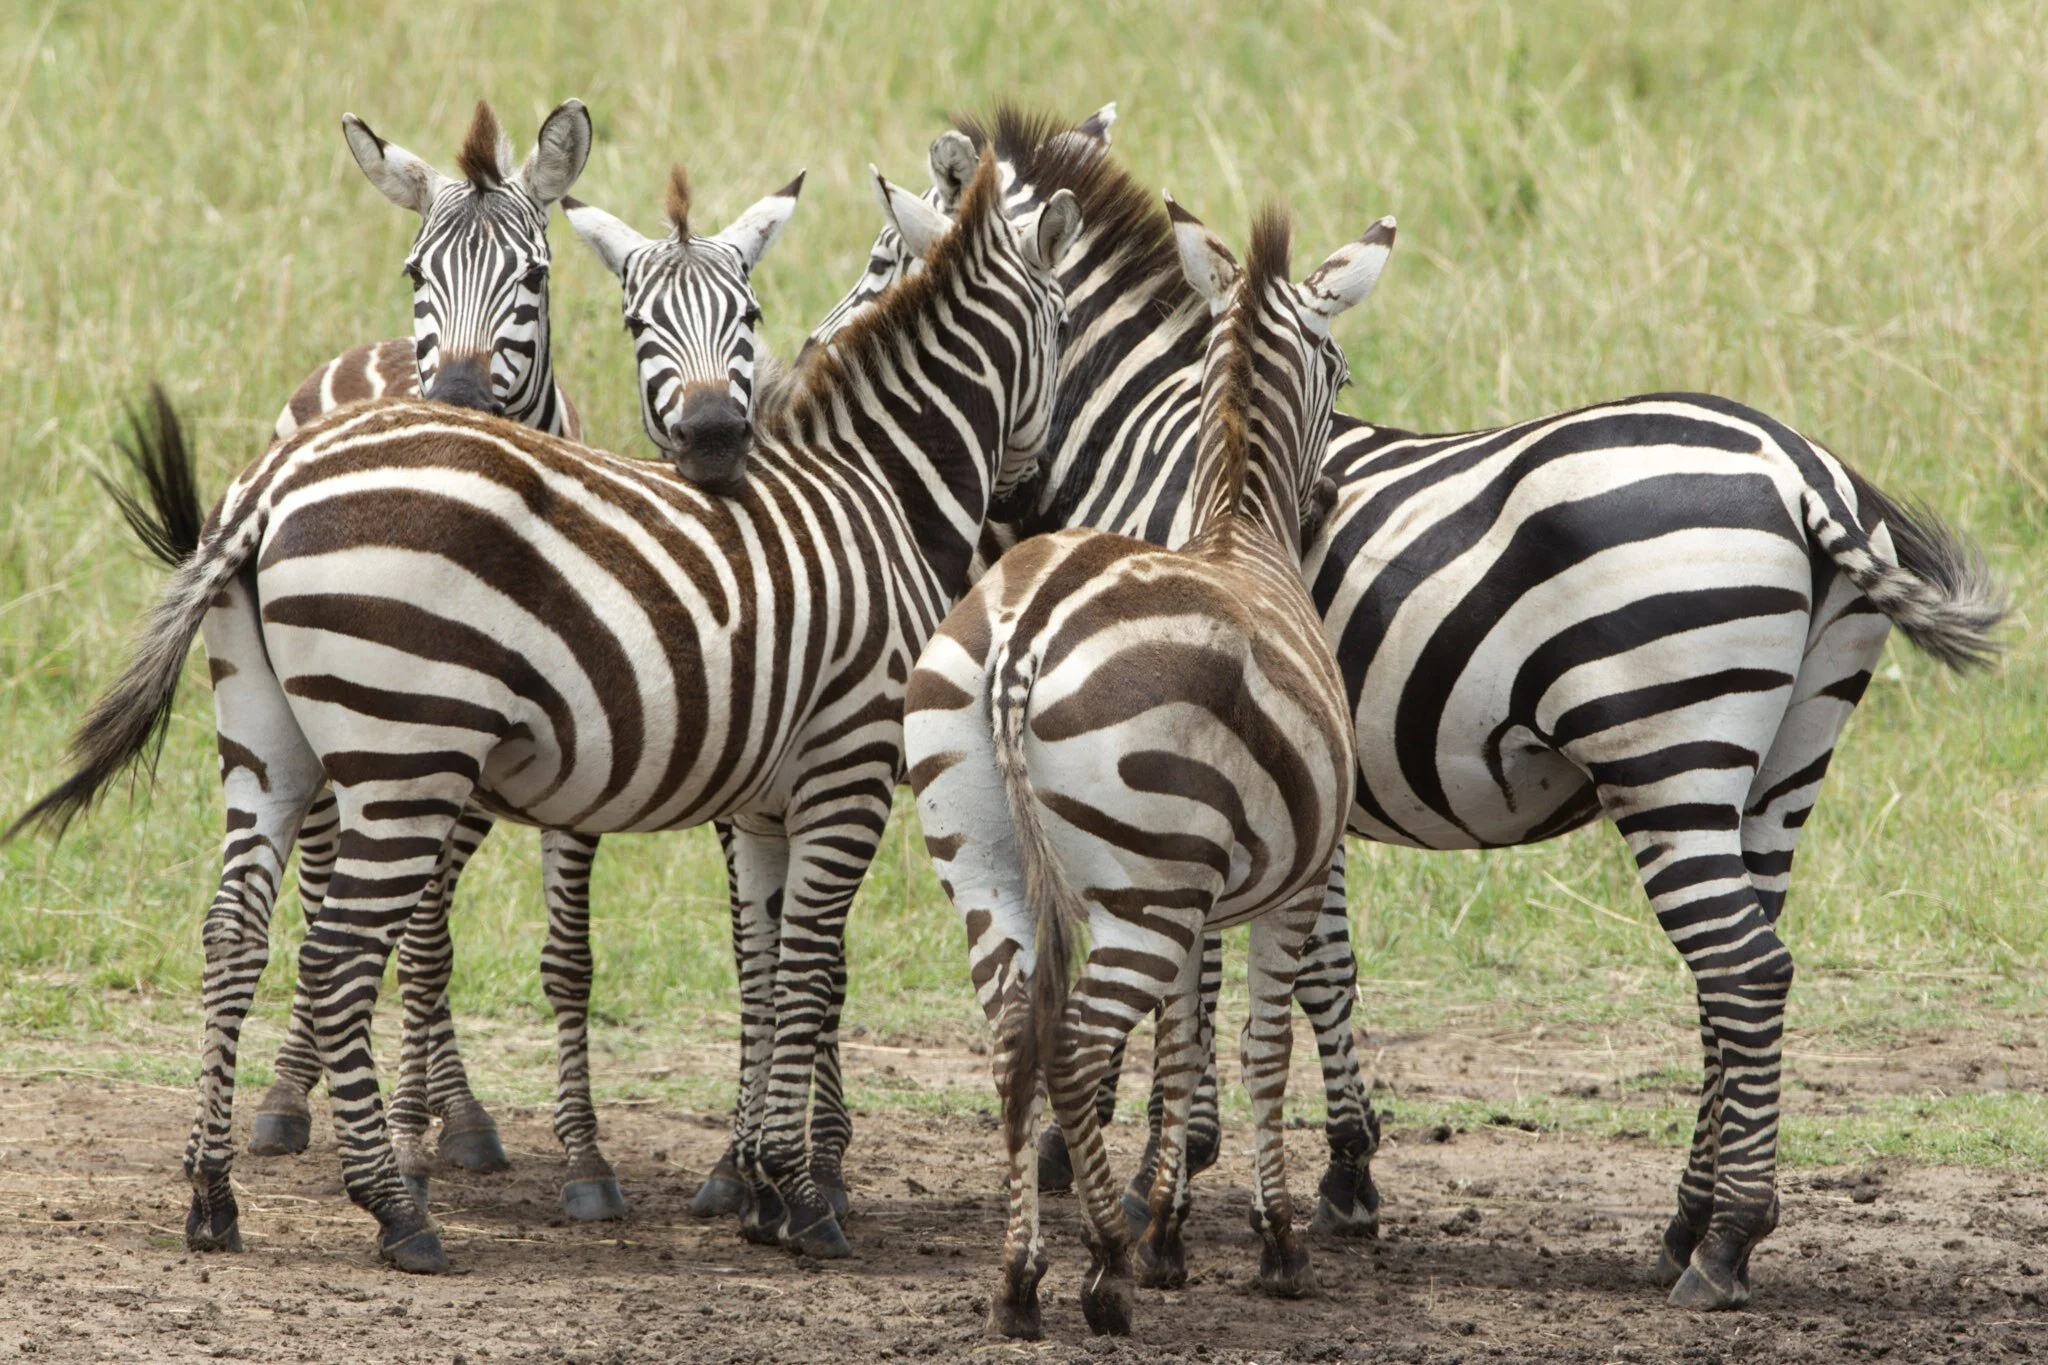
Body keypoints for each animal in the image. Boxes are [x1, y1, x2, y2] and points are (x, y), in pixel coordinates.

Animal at [10, 144, 1079, 1274]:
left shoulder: (763, 799)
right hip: (404, 751)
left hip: (268, 739)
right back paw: (395, 1209)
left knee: (232, 929)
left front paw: (757, 1187)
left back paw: (213, 1195)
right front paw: (803, 1196)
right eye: (1063, 325)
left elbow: (764, 963)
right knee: (341, 951)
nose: (1039, 494)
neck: (879, 489)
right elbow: (809, 971)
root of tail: (275, 483)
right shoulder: (849, 764)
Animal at [905, 199, 1392, 1338]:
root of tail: (1023, 634)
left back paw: (1020, 1281)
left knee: (1014, 1039)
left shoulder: (1196, 897)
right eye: (1341, 371)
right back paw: (1100, 1273)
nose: (1327, 498)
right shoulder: (1290, 882)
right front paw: (1272, 1243)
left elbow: (1181, 1043)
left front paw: (1171, 1231)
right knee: (1076, 1046)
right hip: (1137, 890)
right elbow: (1261, 1044)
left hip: (991, 858)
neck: (1239, 526)